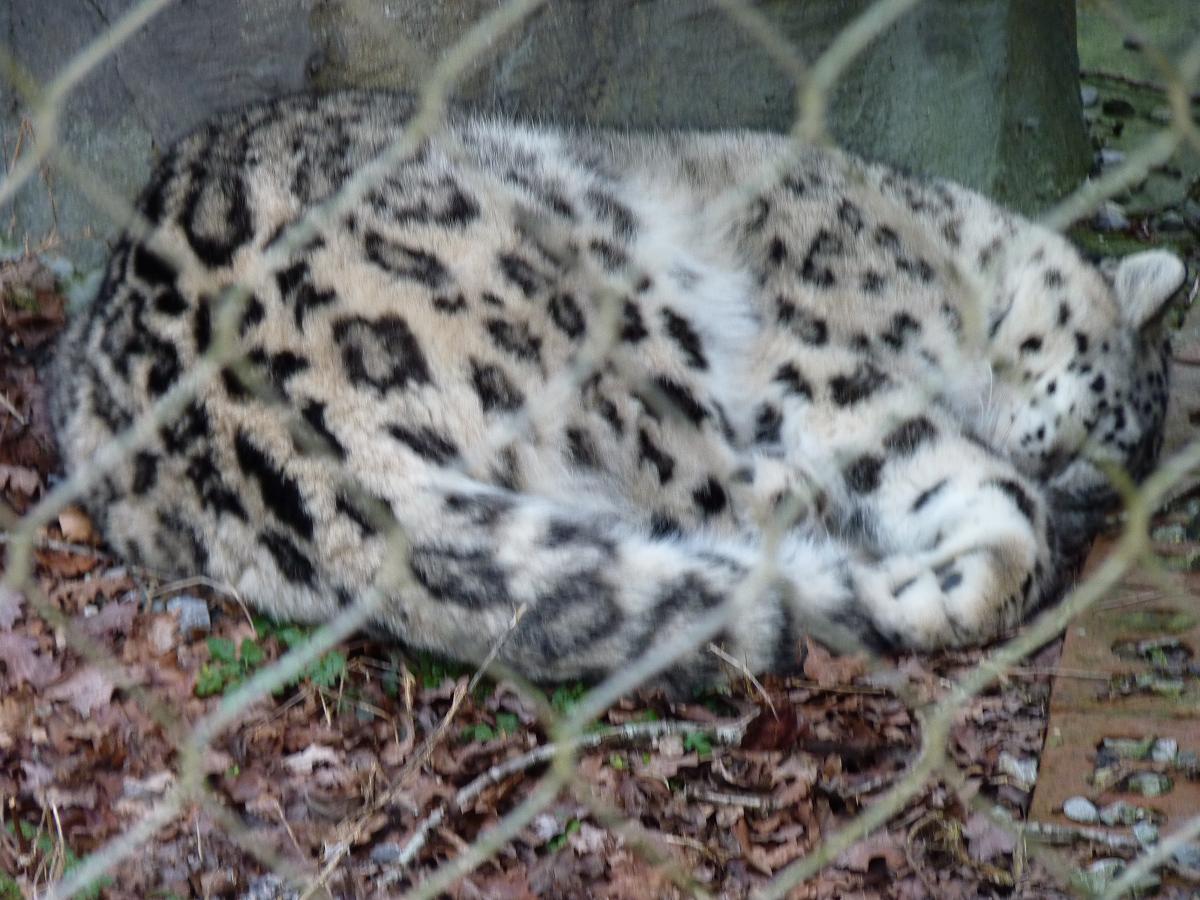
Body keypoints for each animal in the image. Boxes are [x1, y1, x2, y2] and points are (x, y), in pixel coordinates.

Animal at [50, 91, 1186, 689]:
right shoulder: (824, 351)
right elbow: (950, 471)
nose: (1083, 505)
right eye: (1104, 433)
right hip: (605, 285)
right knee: (726, 491)